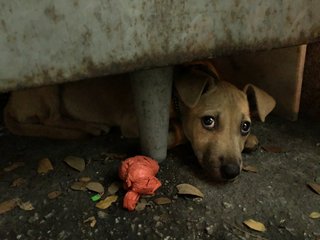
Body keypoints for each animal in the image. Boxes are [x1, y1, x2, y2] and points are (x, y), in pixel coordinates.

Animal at [3, 62, 276, 181]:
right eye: (207, 121)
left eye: (245, 126)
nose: (231, 173)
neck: (176, 95)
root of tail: (9, 104)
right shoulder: (133, 122)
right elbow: (177, 131)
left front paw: (251, 140)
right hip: (50, 89)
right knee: (52, 118)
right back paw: (89, 126)